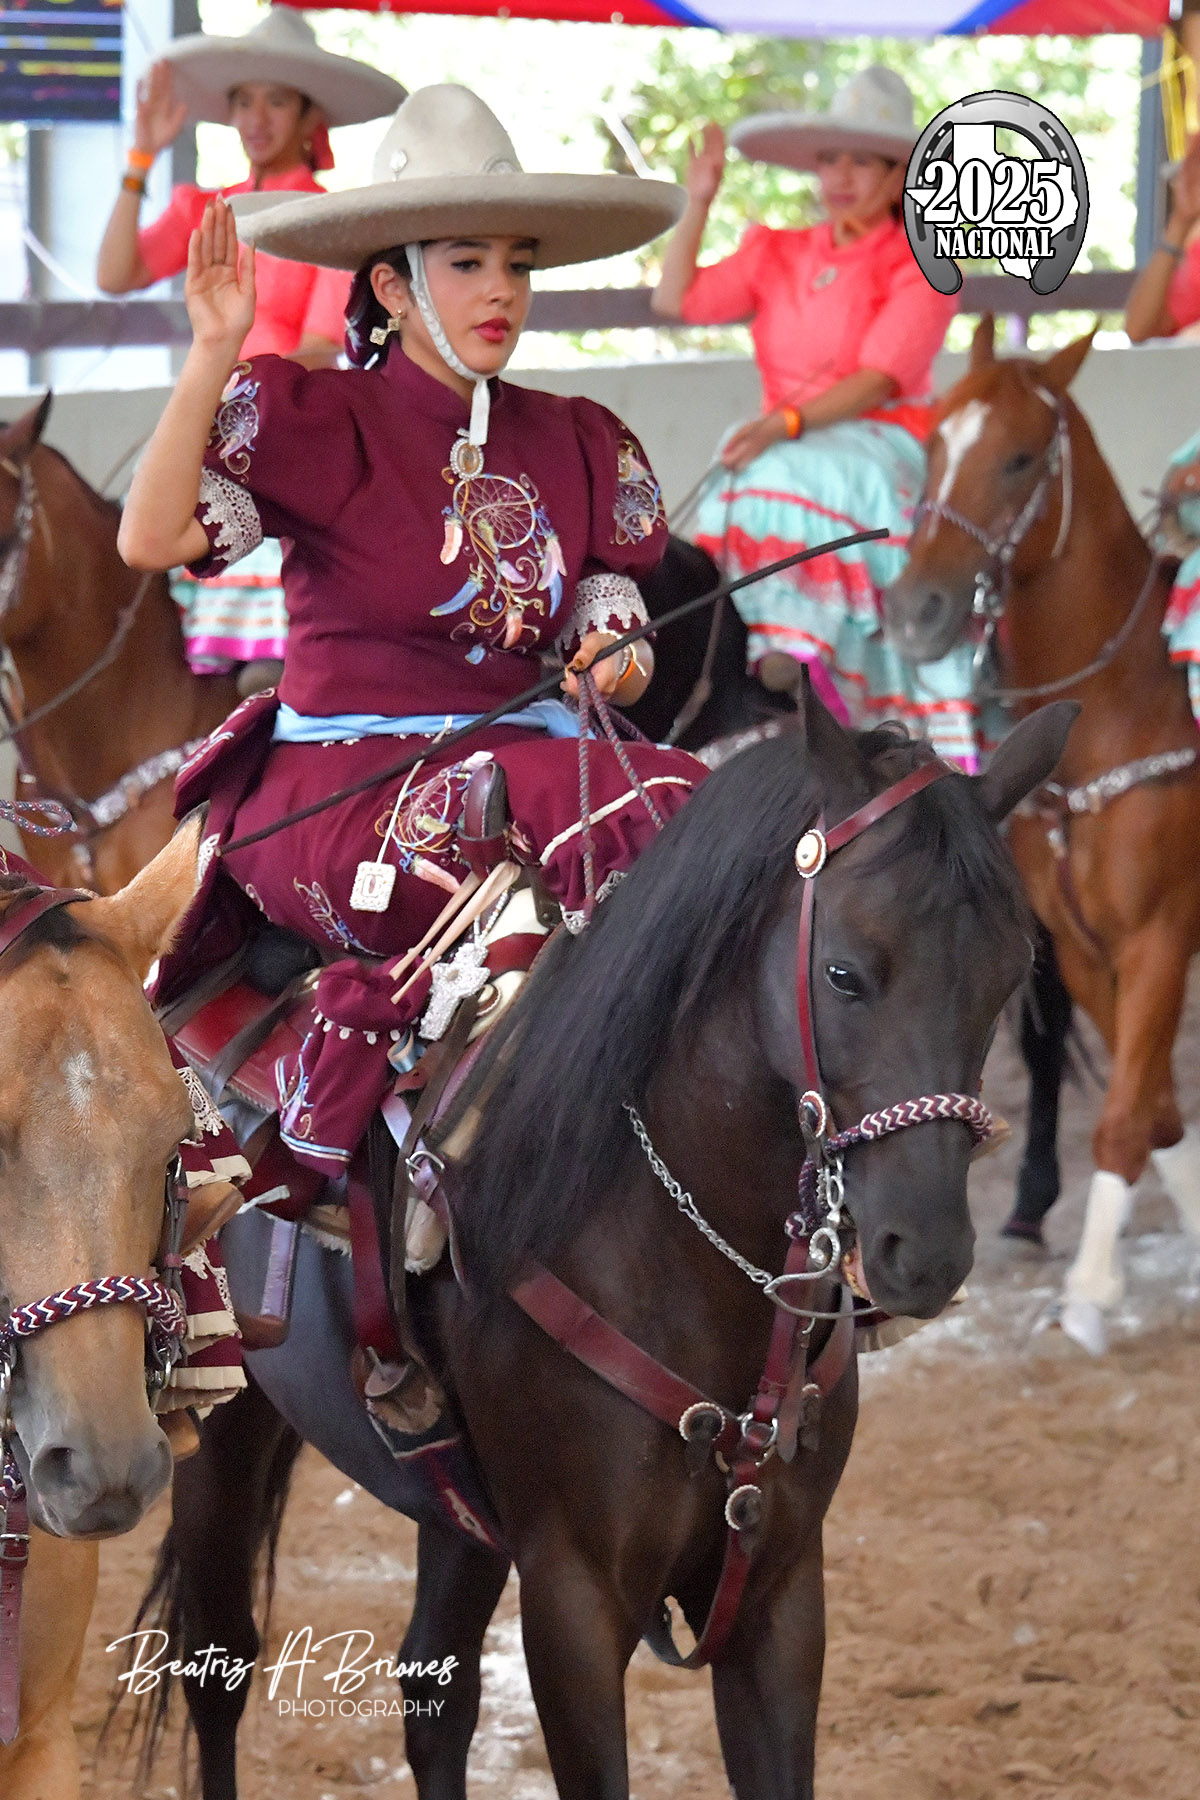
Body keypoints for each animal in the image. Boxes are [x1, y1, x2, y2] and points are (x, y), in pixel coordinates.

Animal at [124, 691, 1073, 1800]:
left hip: (458, 1511)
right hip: (223, 1433)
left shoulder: (779, 1596)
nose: (925, 1251)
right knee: (217, 1666)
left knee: (432, 1693)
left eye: (1010, 974)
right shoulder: (573, 1601)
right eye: (844, 972)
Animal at [884, 316, 1200, 1354]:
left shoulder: (1160, 937)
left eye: (1022, 460)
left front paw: (1093, 1291)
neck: (1120, 706)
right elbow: (1154, 1108)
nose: (917, 609)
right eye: (933, 446)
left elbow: (1124, 1117)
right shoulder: (1086, 945)